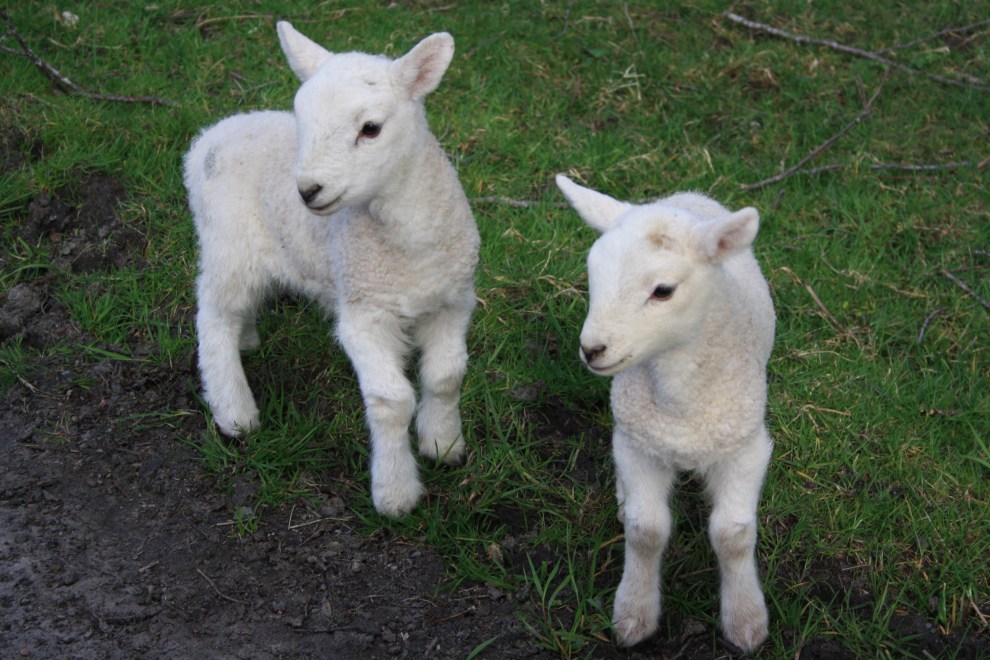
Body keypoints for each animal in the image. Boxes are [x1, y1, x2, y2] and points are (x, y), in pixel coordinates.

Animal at [183, 22, 479, 518]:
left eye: (370, 128)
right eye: (301, 120)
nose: (308, 191)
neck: (409, 244)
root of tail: (210, 134)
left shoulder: (453, 301)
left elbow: (446, 377)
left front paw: (443, 443)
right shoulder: (362, 313)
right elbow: (392, 400)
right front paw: (395, 493)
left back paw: (248, 340)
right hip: (229, 246)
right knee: (214, 318)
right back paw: (234, 411)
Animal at [555, 174, 775, 652]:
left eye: (662, 291)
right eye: (592, 275)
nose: (592, 349)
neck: (680, 404)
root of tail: (684, 195)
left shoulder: (746, 447)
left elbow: (733, 535)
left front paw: (745, 619)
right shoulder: (638, 444)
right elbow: (646, 531)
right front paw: (634, 613)